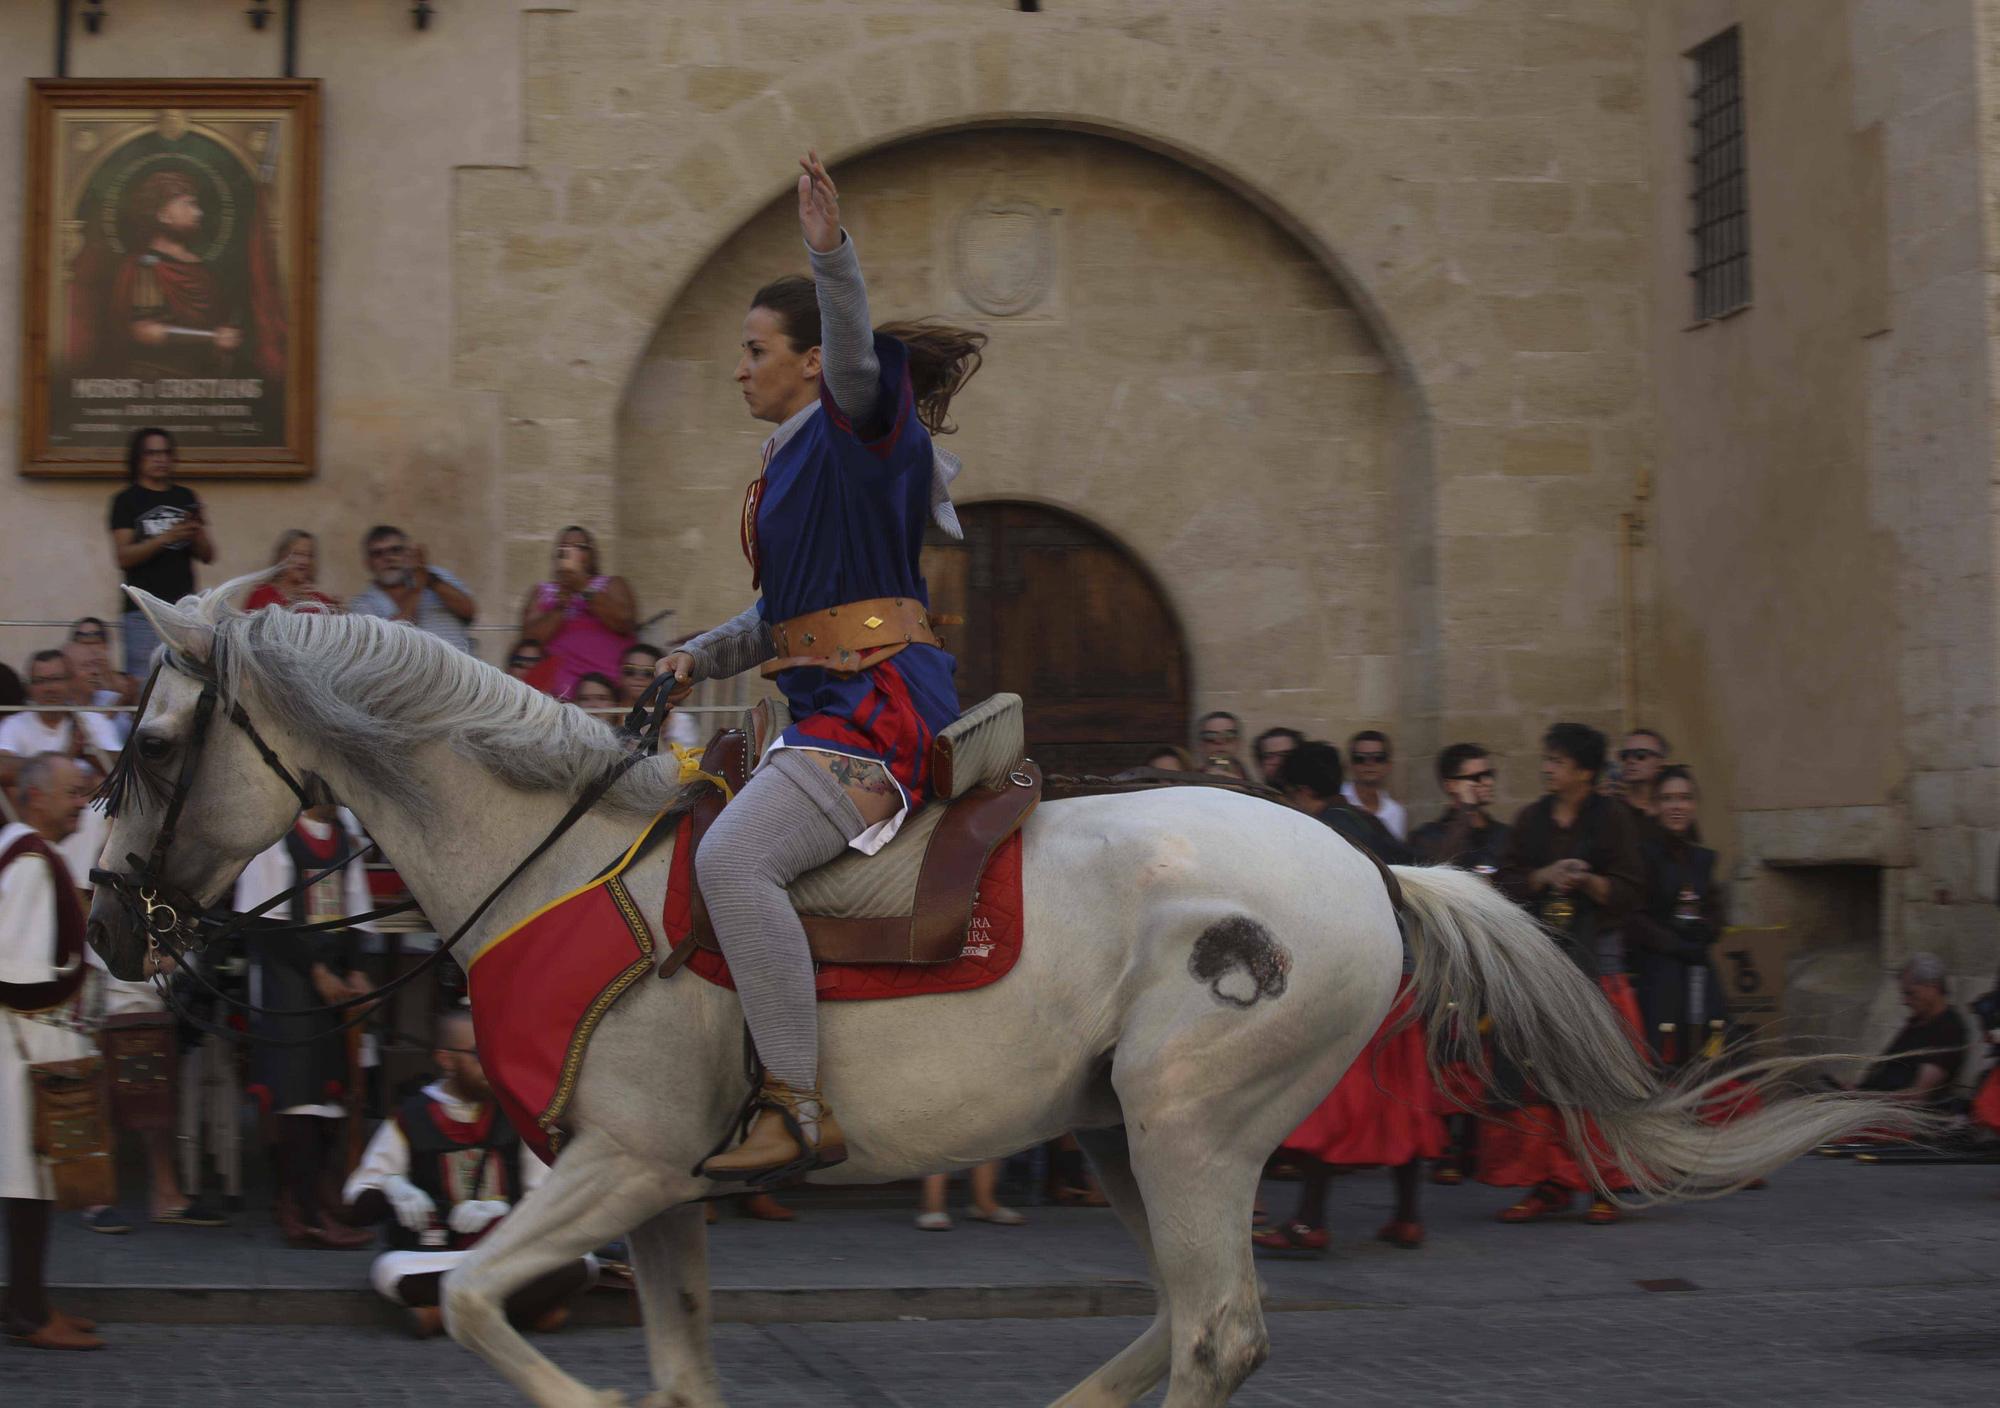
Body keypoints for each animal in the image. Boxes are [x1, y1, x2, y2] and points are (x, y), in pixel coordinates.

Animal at [90, 576, 1904, 1400]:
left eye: (159, 744)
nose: (109, 926)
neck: (549, 862)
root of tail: (1374, 869)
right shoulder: (661, 1185)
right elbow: (667, 1370)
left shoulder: (619, 1163)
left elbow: (473, 1298)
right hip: (1120, 1132)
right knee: (1178, 1314)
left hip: (1190, 1125)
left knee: (1219, 1329)